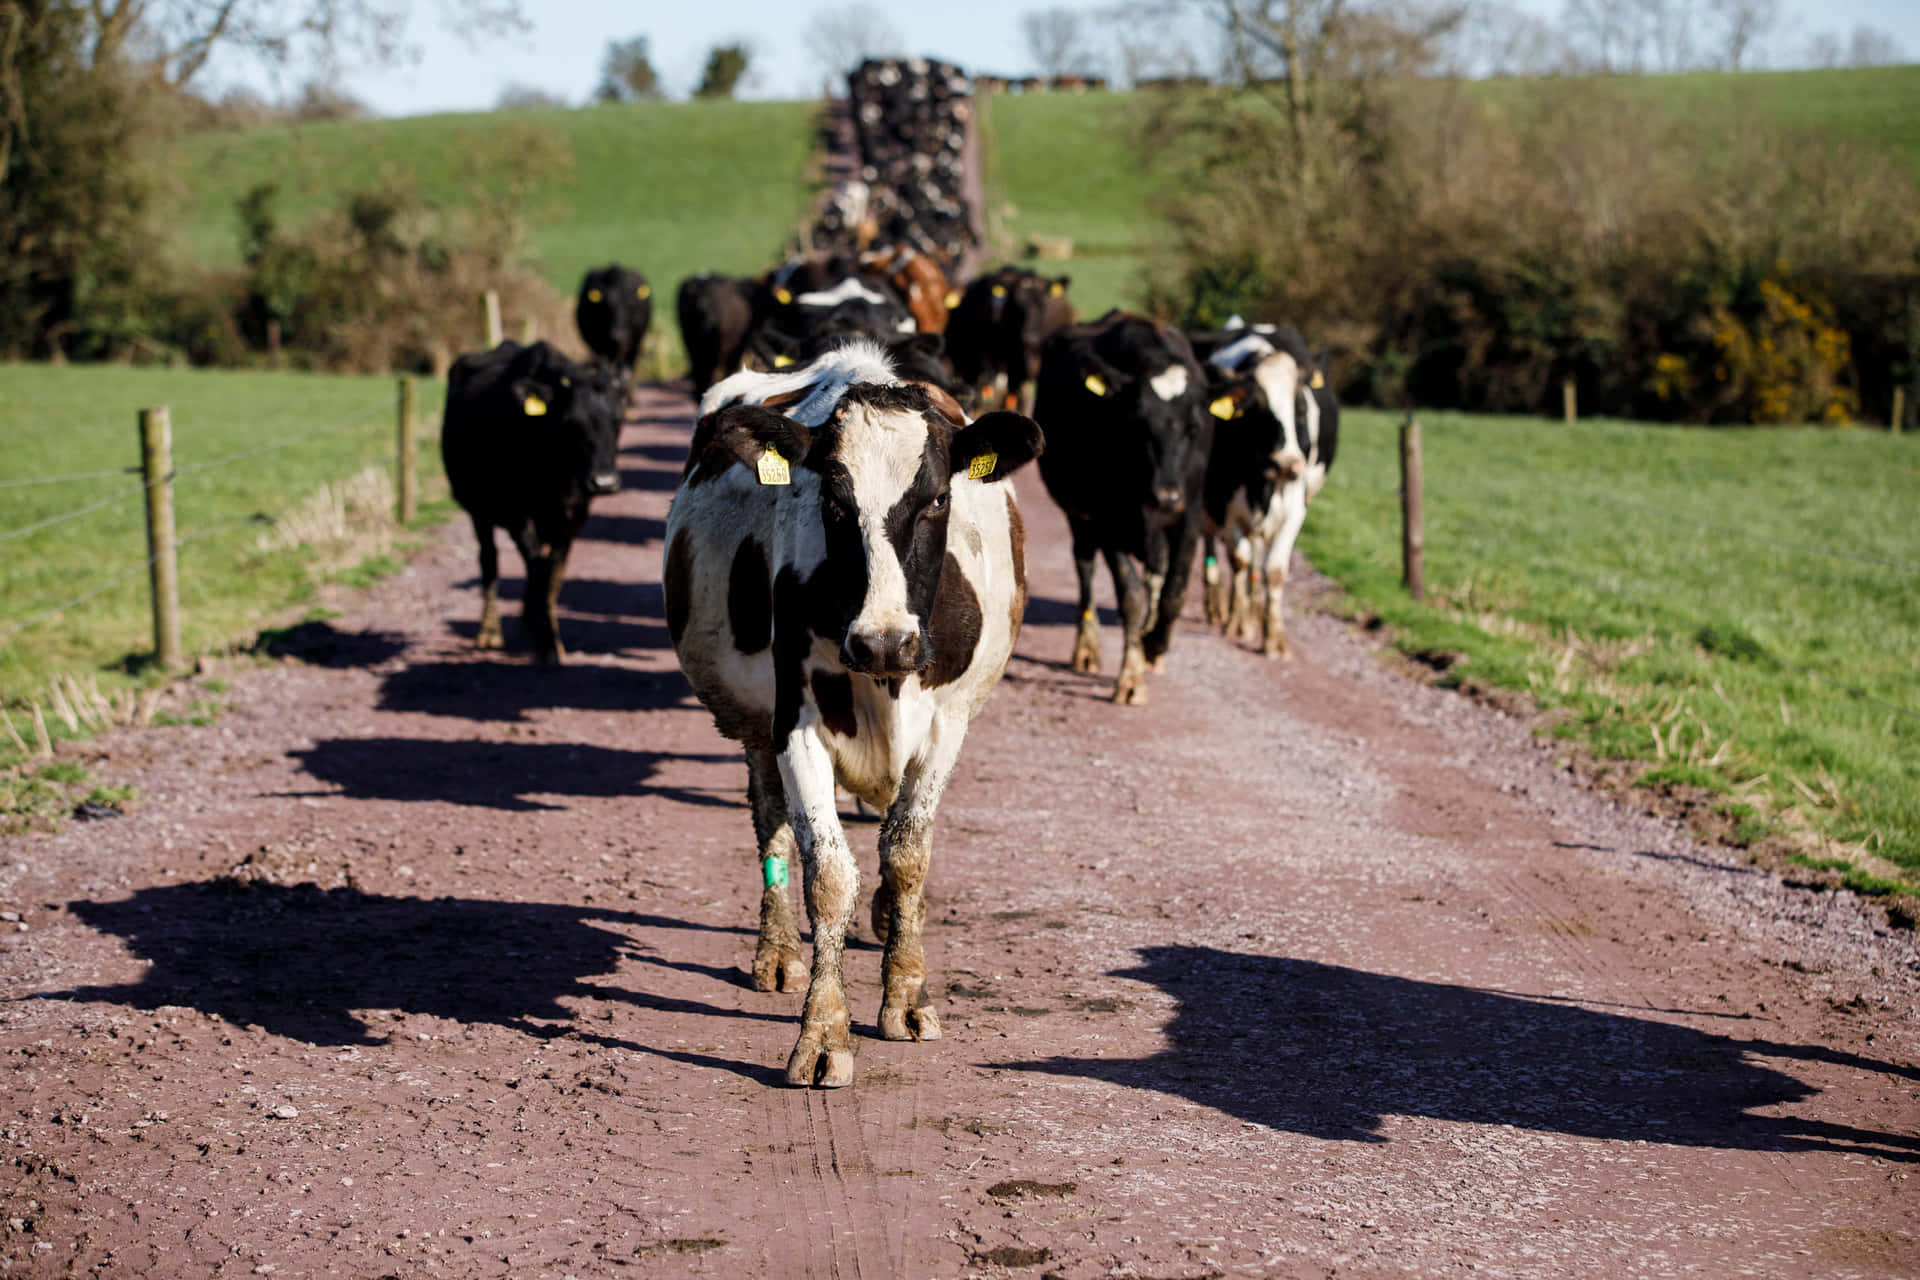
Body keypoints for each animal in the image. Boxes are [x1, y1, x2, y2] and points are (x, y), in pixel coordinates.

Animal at [439, 339, 622, 667]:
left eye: (617, 421)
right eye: (571, 423)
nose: (604, 482)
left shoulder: (573, 518)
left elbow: (552, 574)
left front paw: (550, 635)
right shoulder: (519, 517)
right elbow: (538, 570)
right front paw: (546, 645)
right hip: (478, 510)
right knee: (489, 560)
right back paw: (490, 631)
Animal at [664, 337, 1052, 1082]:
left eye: (937, 499)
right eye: (834, 503)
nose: (883, 642)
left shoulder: (947, 723)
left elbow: (906, 855)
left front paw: (906, 995)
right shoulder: (794, 723)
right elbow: (828, 872)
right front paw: (823, 1031)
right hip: (754, 725)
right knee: (771, 821)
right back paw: (778, 949)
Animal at [1036, 314, 1213, 706]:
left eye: (1194, 427)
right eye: (1138, 423)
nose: (1165, 494)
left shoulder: (1189, 515)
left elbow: (1175, 592)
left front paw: (1154, 646)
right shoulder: (1107, 520)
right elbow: (1130, 595)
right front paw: (1131, 677)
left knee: (1157, 574)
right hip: (1079, 517)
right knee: (1085, 568)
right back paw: (1086, 647)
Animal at [1190, 320, 1344, 660]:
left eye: (1300, 408)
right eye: (1256, 410)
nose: (1287, 462)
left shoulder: (1296, 505)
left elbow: (1273, 570)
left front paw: (1274, 640)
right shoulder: (1225, 502)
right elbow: (1238, 560)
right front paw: (1237, 624)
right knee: (1217, 547)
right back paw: (1222, 608)